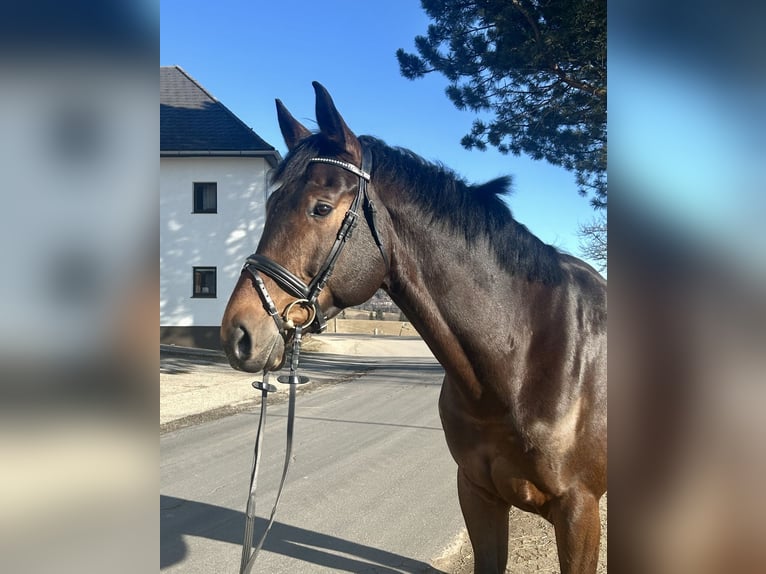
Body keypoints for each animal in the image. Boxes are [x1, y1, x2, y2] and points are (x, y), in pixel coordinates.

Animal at [220, 83, 608, 572]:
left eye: (321, 208)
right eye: (270, 205)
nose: (238, 333)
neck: (523, 360)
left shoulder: (579, 512)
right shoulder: (478, 494)